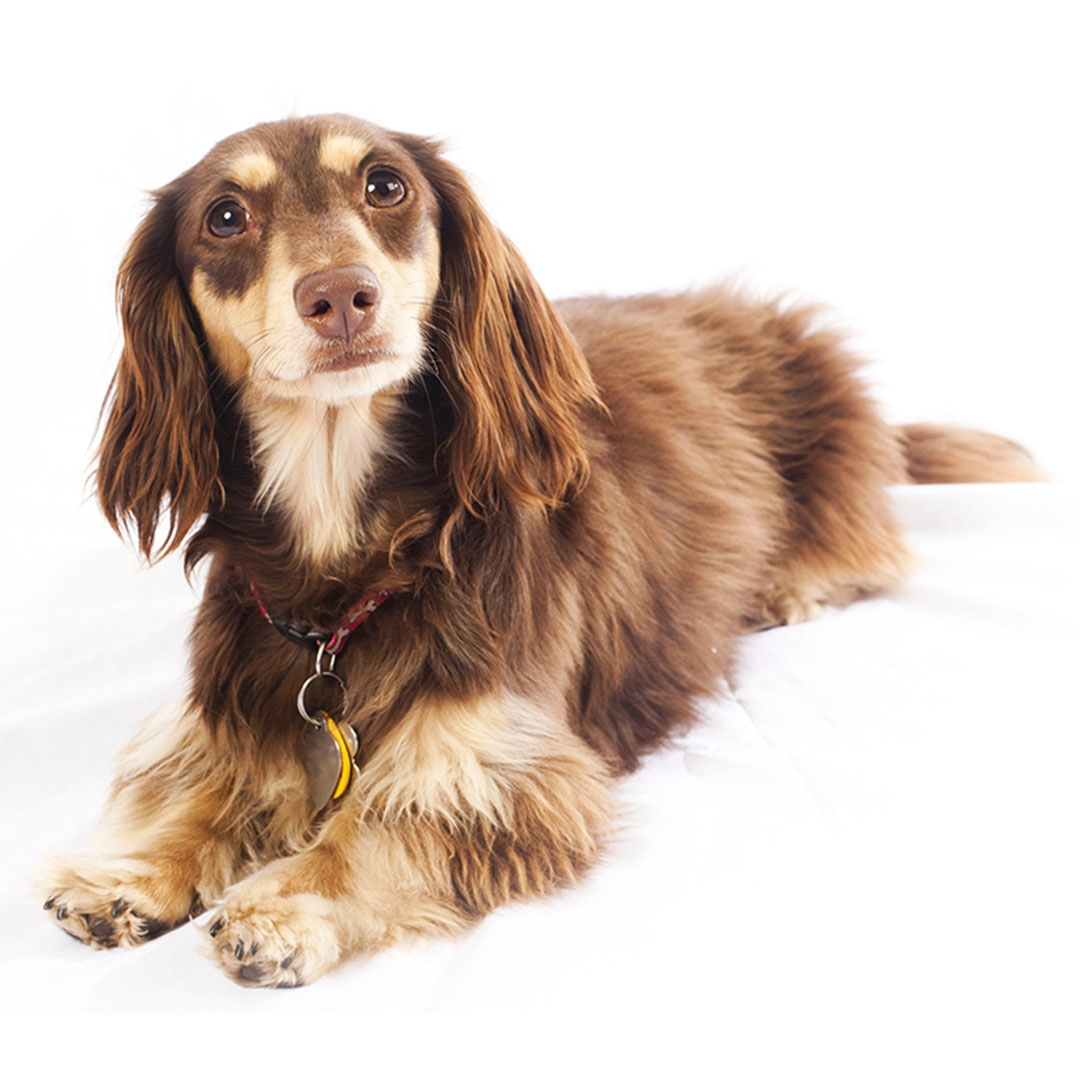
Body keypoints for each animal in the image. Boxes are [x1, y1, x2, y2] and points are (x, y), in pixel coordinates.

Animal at [38, 113, 1041, 984]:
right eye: (225, 216)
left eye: (386, 184)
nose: (340, 296)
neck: (354, 574)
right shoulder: (230, 704)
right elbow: (202, 782)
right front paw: (131, 873)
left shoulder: (501, 768)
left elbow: (371, 829)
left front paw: (284, 906)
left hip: (824, 411)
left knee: (861, 531)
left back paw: (794, 581)